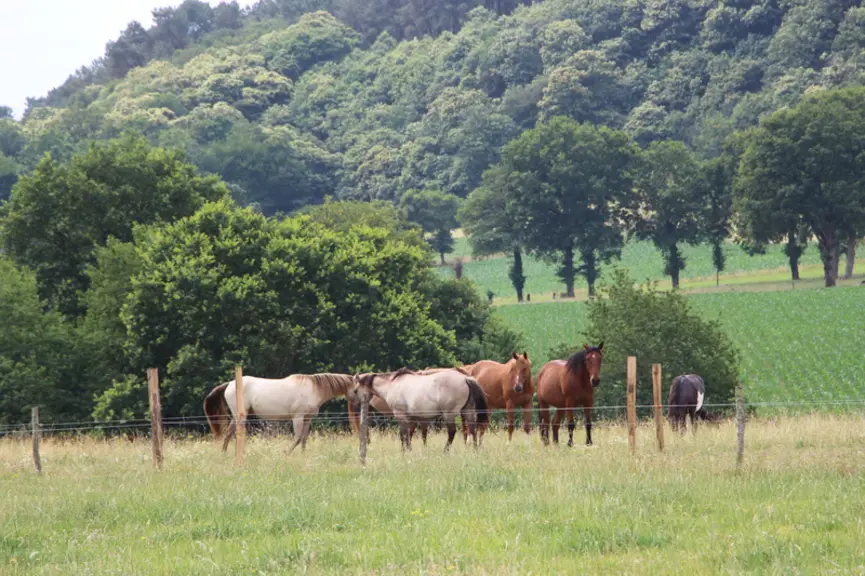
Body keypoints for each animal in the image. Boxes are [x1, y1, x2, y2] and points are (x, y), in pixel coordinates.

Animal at [203, 372, 354, 453]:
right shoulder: (298, 417)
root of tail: (229, 384)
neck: (313, 389)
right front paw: (286, 453)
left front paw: (303, 455)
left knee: (228, 434)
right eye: (356, 389)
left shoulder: (307, 418)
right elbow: (297, 438)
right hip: (240, 416)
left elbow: (304, 439)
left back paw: (224, 454)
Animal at [351, 368, 489, 452]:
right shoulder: (411, 418)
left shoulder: (400, 416)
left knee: (452, 432)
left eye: (355, 390)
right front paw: (409, 450)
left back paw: (445, 451)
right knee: (473, 428)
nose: (354, 405)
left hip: (449, 414)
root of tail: (465, 378)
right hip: (467, 411)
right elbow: (408, 434)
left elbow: (403, 434)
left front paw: (404, 452)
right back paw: (475, 450)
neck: (391, 385)